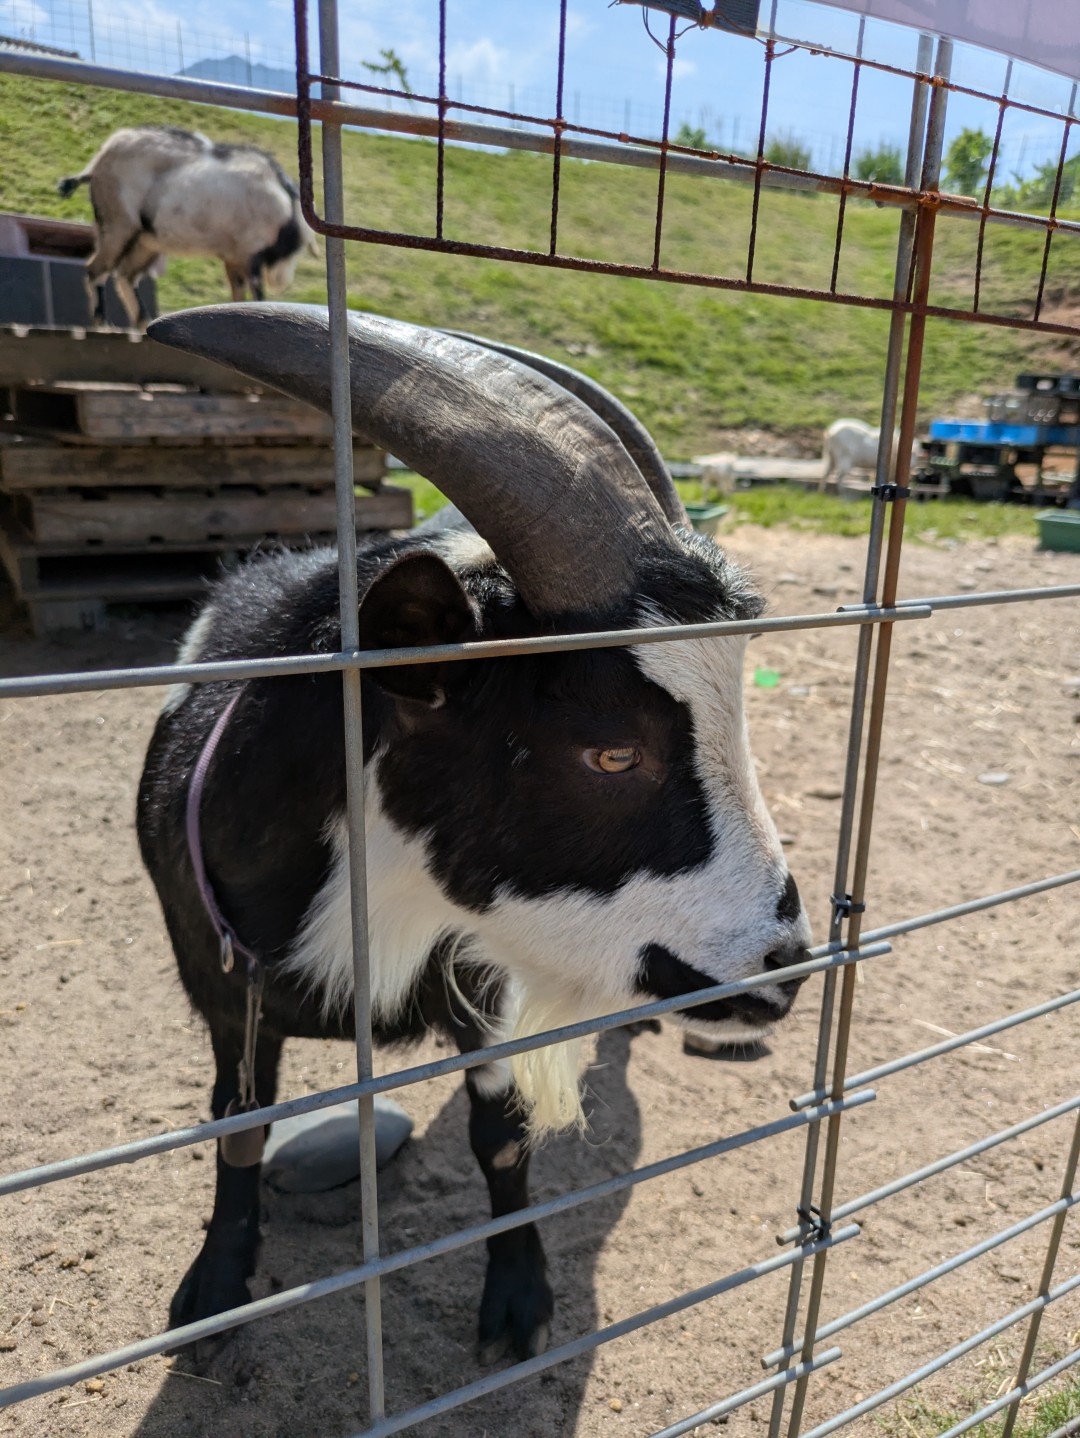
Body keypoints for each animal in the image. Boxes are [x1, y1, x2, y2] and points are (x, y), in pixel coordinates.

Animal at [57, 126, 317, 327]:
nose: (282, 280)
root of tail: (97, 163)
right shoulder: (248, 254)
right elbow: (256, 296)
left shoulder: (233, 258)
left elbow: (238, 296)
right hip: (118, 226)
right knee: (96, 269)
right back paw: (103, 324)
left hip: (147, 241)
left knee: (125, 276)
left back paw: (144, 324)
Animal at [136, 304, 813, 1367]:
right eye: (611, 751)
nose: (784, 964)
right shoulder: (220, 987)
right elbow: (238, 1126)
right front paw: (213, 1294)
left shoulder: (483, 977)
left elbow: (501, 1130)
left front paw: (517, 1302)